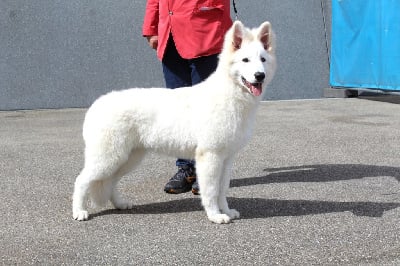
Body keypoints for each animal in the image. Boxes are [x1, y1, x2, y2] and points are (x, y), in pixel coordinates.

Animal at [72, 20, 276, 223]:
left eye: (263, 60)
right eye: (245, 60)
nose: (260, 75)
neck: (230, 94)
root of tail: (96, 105)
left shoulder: (226, 159)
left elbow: (222, 190)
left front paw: (226, 210)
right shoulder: (210, 156)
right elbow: (211, 191)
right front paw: (215, 215)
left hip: (126, 158)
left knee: (111, 181)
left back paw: (120, 204)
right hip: (108, 158)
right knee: (81, 180)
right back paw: (79, 211)